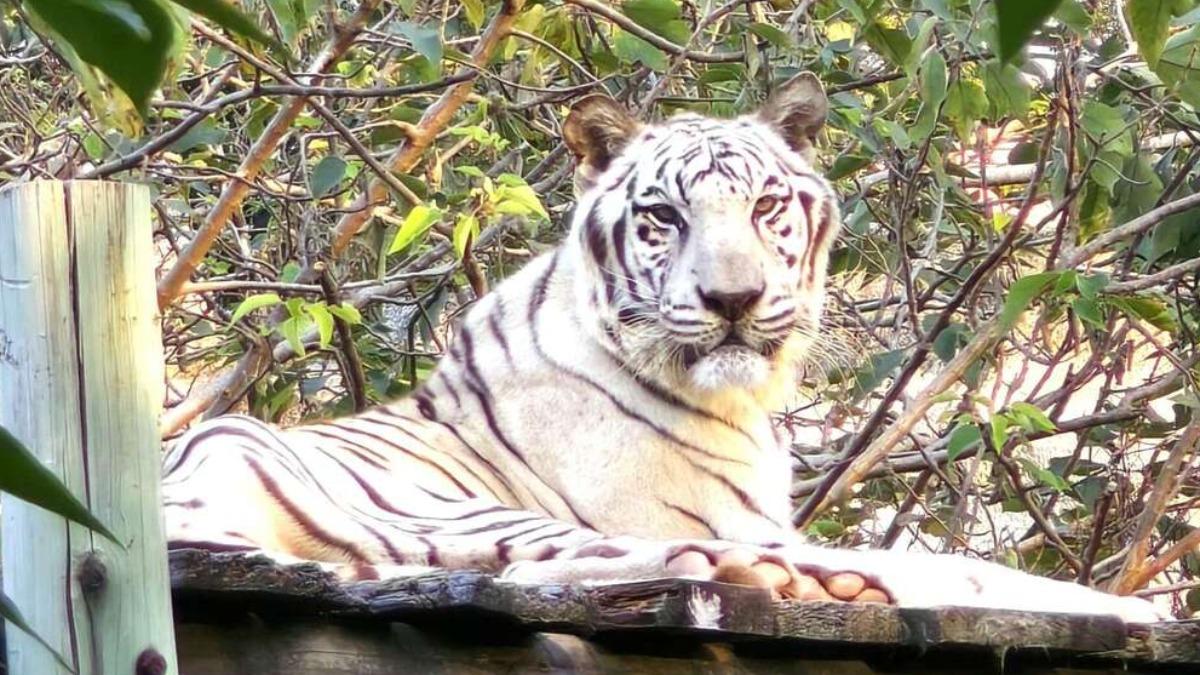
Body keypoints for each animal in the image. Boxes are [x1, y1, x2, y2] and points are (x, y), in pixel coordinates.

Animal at [162, 73, 1161, 622]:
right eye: (664, 217)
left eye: (767, 205)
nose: (733, 299)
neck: (743, 398)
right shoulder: (717, 513)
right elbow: (970, 566)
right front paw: (1132, 607)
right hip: (397, 496)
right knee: (548, 566)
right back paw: (777, 578)